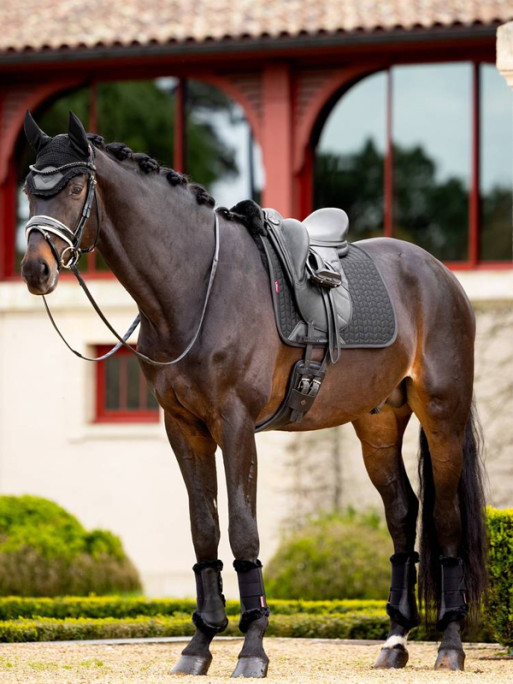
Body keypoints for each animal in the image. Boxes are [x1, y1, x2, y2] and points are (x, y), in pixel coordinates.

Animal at [20, 112, 484, 672]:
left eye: (73, 186)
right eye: (30, 190)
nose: (35, 270)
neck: (197, 285)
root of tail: (440, 275)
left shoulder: (236, 424)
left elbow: (244, 528)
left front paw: (252, 647)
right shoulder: (184, 428)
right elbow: (204, 527)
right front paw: (199, 643)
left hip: (442, 415)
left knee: (445, 518)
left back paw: (450, 645)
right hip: (377, 422)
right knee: (402, 513)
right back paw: (394, 641)